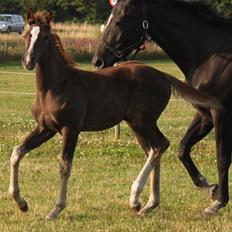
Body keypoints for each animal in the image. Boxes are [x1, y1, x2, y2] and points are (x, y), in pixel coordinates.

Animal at [8, 9, 223, 219]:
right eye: (27, 35)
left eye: (45, 37)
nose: (28, 61)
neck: (56, 86)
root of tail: (161, 75)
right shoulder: (45, 128)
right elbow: (16, 153)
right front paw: (21, 203)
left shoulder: (71, 129)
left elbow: (64, 167)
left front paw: (56, 209)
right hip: (138, 123)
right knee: (155, 148)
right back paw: (150, 203)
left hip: (142, 121)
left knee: (159, 146)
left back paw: (135, 199)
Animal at [92, 0, 232, 217]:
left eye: (120, 20)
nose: (98, 60)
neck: (209, 56)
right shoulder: (205, 114)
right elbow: (183, 149)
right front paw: (209, 187)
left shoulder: (221, 114)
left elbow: (222, 158)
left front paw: (218, 202)